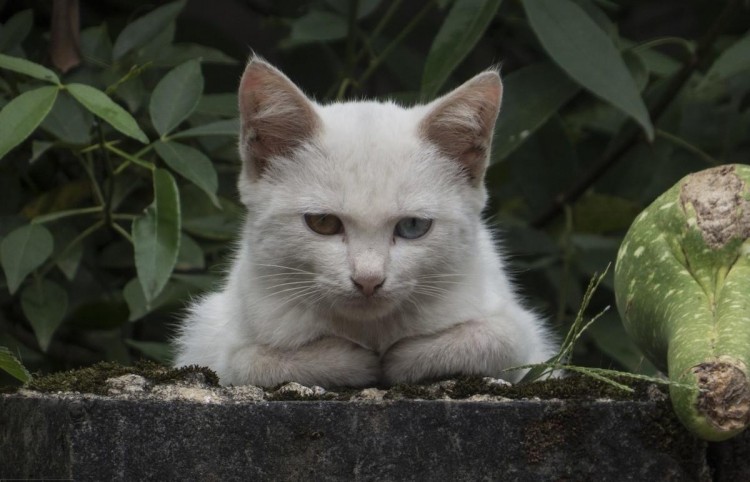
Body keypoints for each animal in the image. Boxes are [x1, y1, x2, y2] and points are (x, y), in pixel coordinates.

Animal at [173, 57, 556, 388]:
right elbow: (250, 359)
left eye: (413, 226)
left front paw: (404, 357)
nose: (369, 280)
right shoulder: (211, 333)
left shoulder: (525, 334)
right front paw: (352, 361)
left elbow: (494, 338)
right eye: (323, 222)